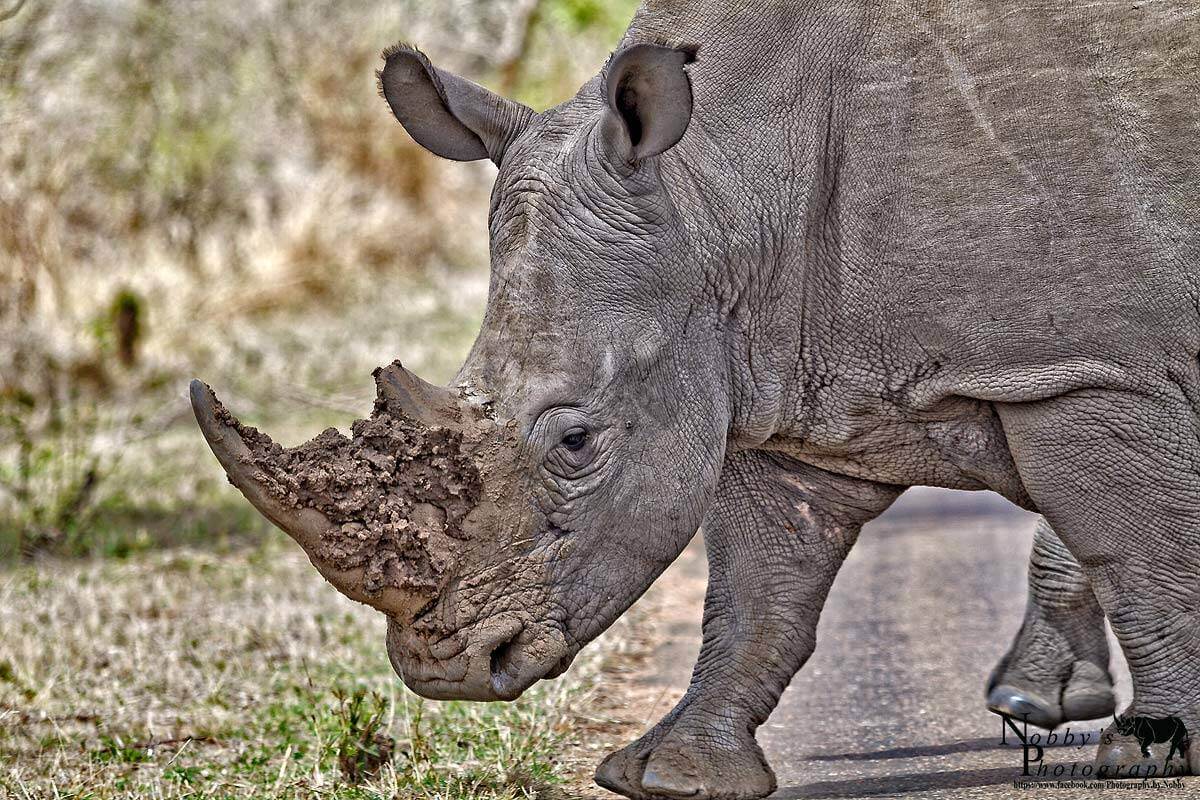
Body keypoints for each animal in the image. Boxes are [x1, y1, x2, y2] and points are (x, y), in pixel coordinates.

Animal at [191, 1, 1200, 797]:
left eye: (574, 443)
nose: (449, 670)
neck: (721, 185)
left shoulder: (1077, 366)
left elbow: (1138, 552)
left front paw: (1150, 752)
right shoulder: (767, 361)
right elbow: (760, 586)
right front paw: (673, 773)